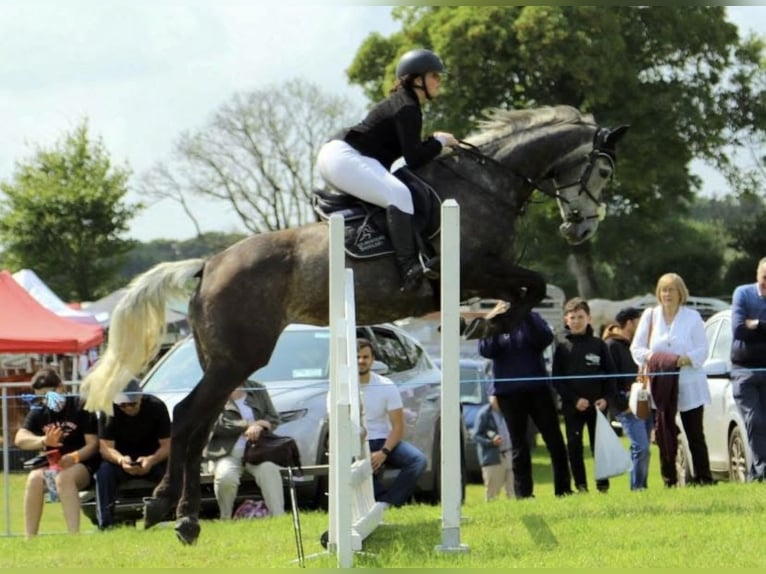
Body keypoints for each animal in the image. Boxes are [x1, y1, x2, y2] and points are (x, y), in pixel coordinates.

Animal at [81, 105, 628, 544]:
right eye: (602, 170)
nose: (581, 228)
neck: (487, 183)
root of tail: (208, 265)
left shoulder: (482, 273)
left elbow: (528, 290)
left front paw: (486, 323)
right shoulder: (473, 267)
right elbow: (531, 286)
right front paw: (488, 325)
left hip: (222, 360)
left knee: (195, 421)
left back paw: (171, 511)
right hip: (239, 357)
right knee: (190, 416)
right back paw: (177, 514)